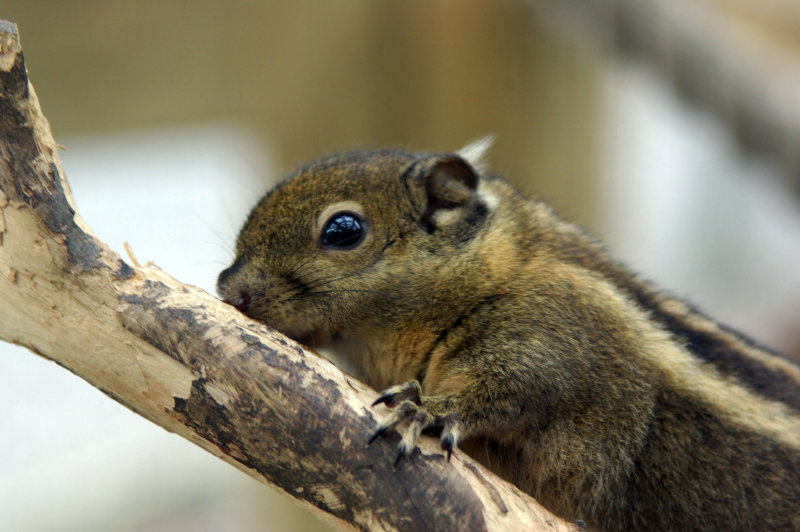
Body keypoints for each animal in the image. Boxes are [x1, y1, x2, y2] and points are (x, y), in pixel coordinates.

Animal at [216, 139, 800, 528]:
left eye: (343, 230)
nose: (229, 290)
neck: (502, 266)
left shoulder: (553, 334)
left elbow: (511, 389)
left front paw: (428, 408)